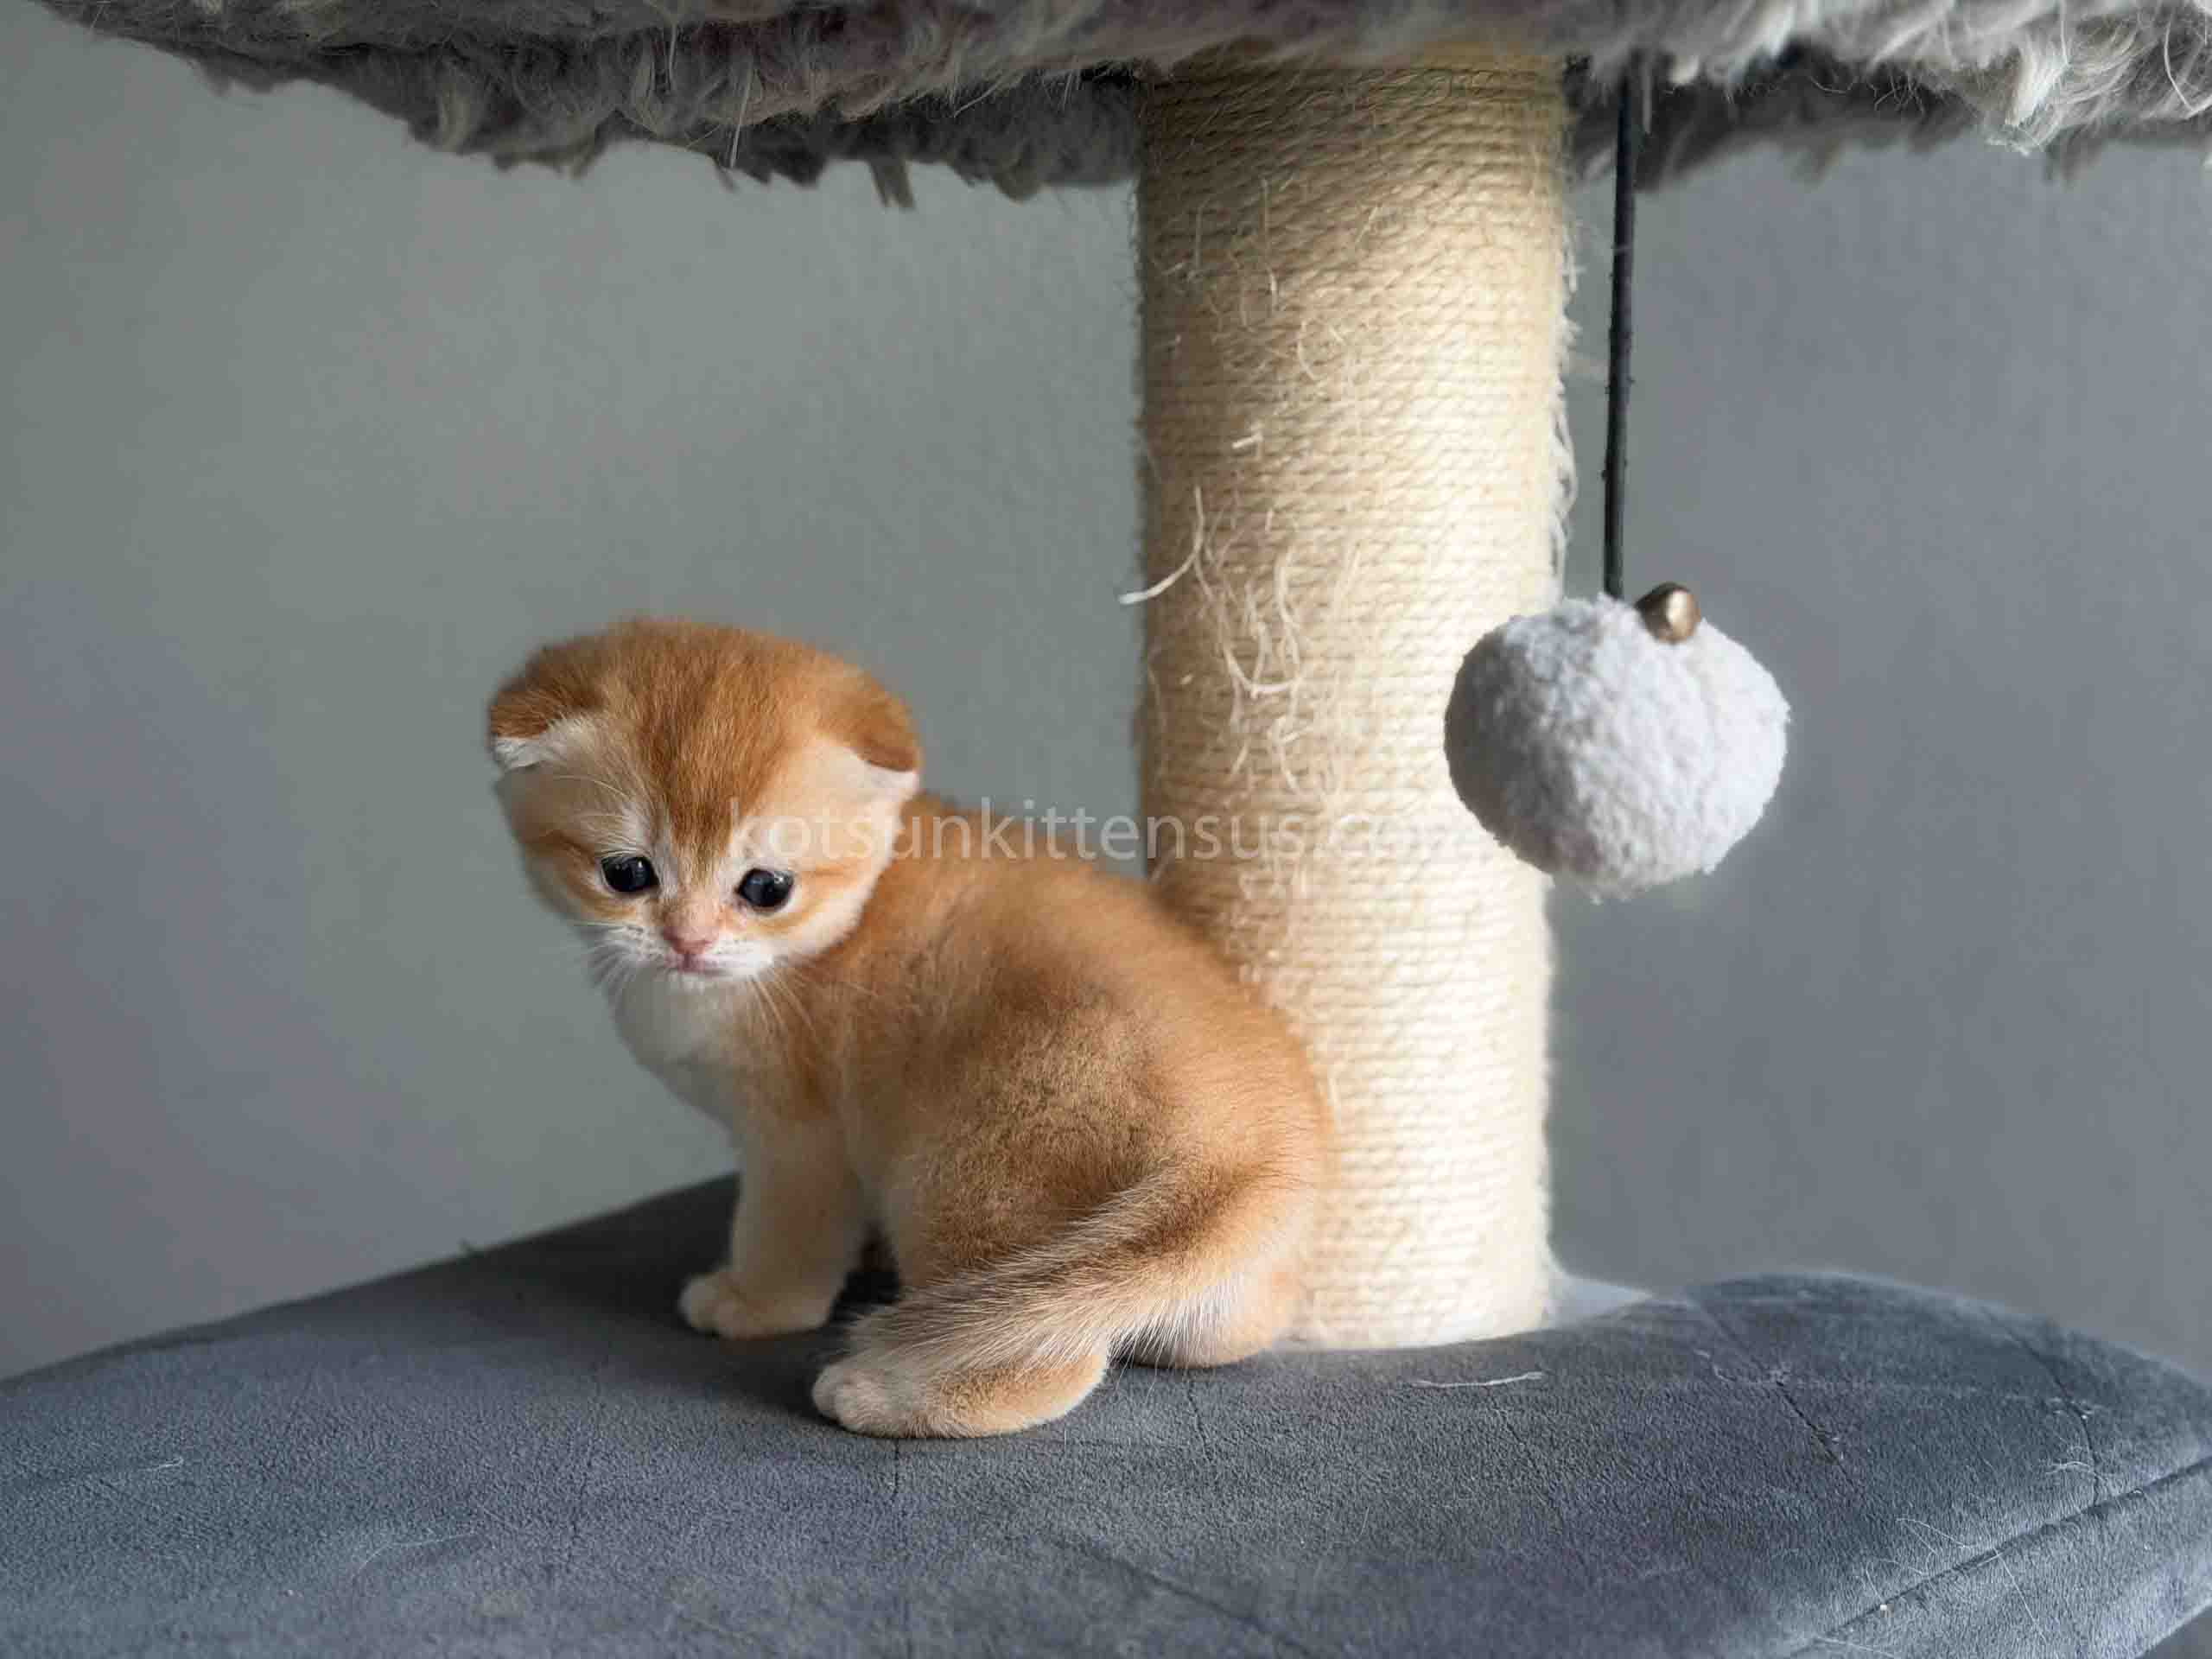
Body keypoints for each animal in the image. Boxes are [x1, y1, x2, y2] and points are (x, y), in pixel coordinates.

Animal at [487, 617, 1331, 1437]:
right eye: (626, 874)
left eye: (766, 888)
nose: (686, 941)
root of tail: (1242, 1142)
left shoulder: (799, 1142)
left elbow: (783, 1233)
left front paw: (753, 1302)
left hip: (958, 1178)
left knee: (1048, 1361)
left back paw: (878, 1397)